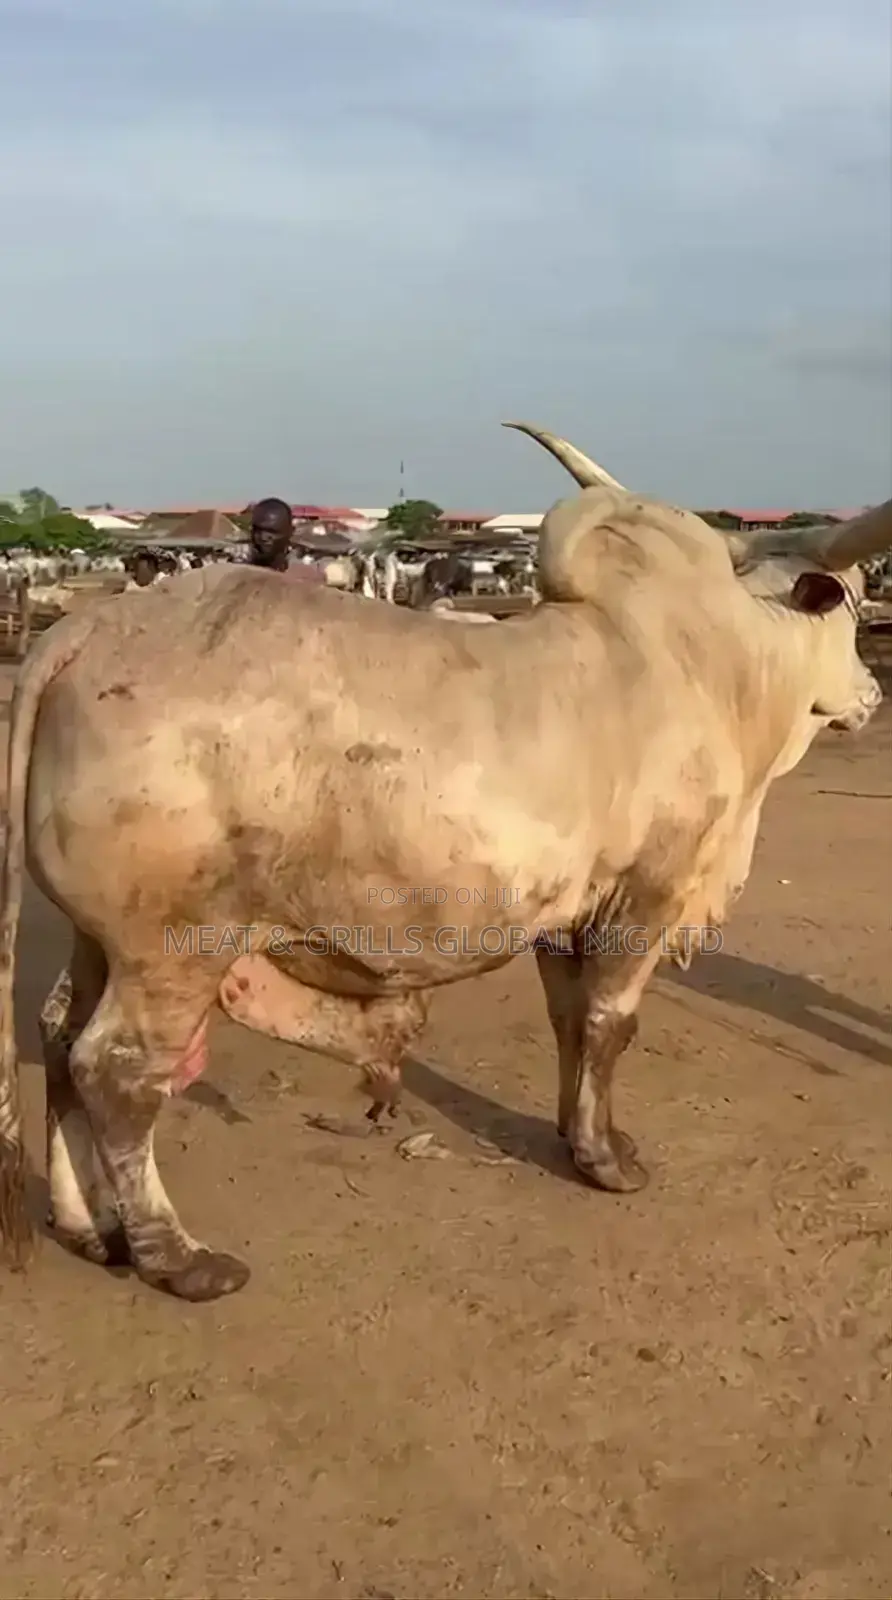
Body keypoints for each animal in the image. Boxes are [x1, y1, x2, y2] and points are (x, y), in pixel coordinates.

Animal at [1, 424, 888, 1303]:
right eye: (846, 602)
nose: (870, 694)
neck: (715, 666)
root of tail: (82, 634)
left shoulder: (566, 914)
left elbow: (570, 1020)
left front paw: (573, 1134)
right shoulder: (649, 894)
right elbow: (610, 1021)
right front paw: (608, 1161)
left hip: (102, 939)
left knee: (59, 1036)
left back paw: (91, 1227)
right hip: (175, 948)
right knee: (116, 1068)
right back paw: (175, 1255)